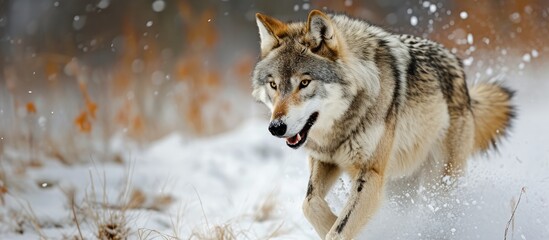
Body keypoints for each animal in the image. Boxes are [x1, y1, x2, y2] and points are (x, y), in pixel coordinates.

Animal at [250, 9, 512, 240]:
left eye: (304, 82)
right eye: (274, 85)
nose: (276, 127)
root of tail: (464, 81)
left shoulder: (371, 174)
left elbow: (339, 229)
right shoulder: (324, 160)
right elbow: (309, 203)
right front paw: (332, 222)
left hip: (440, 182)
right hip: (400, 184)